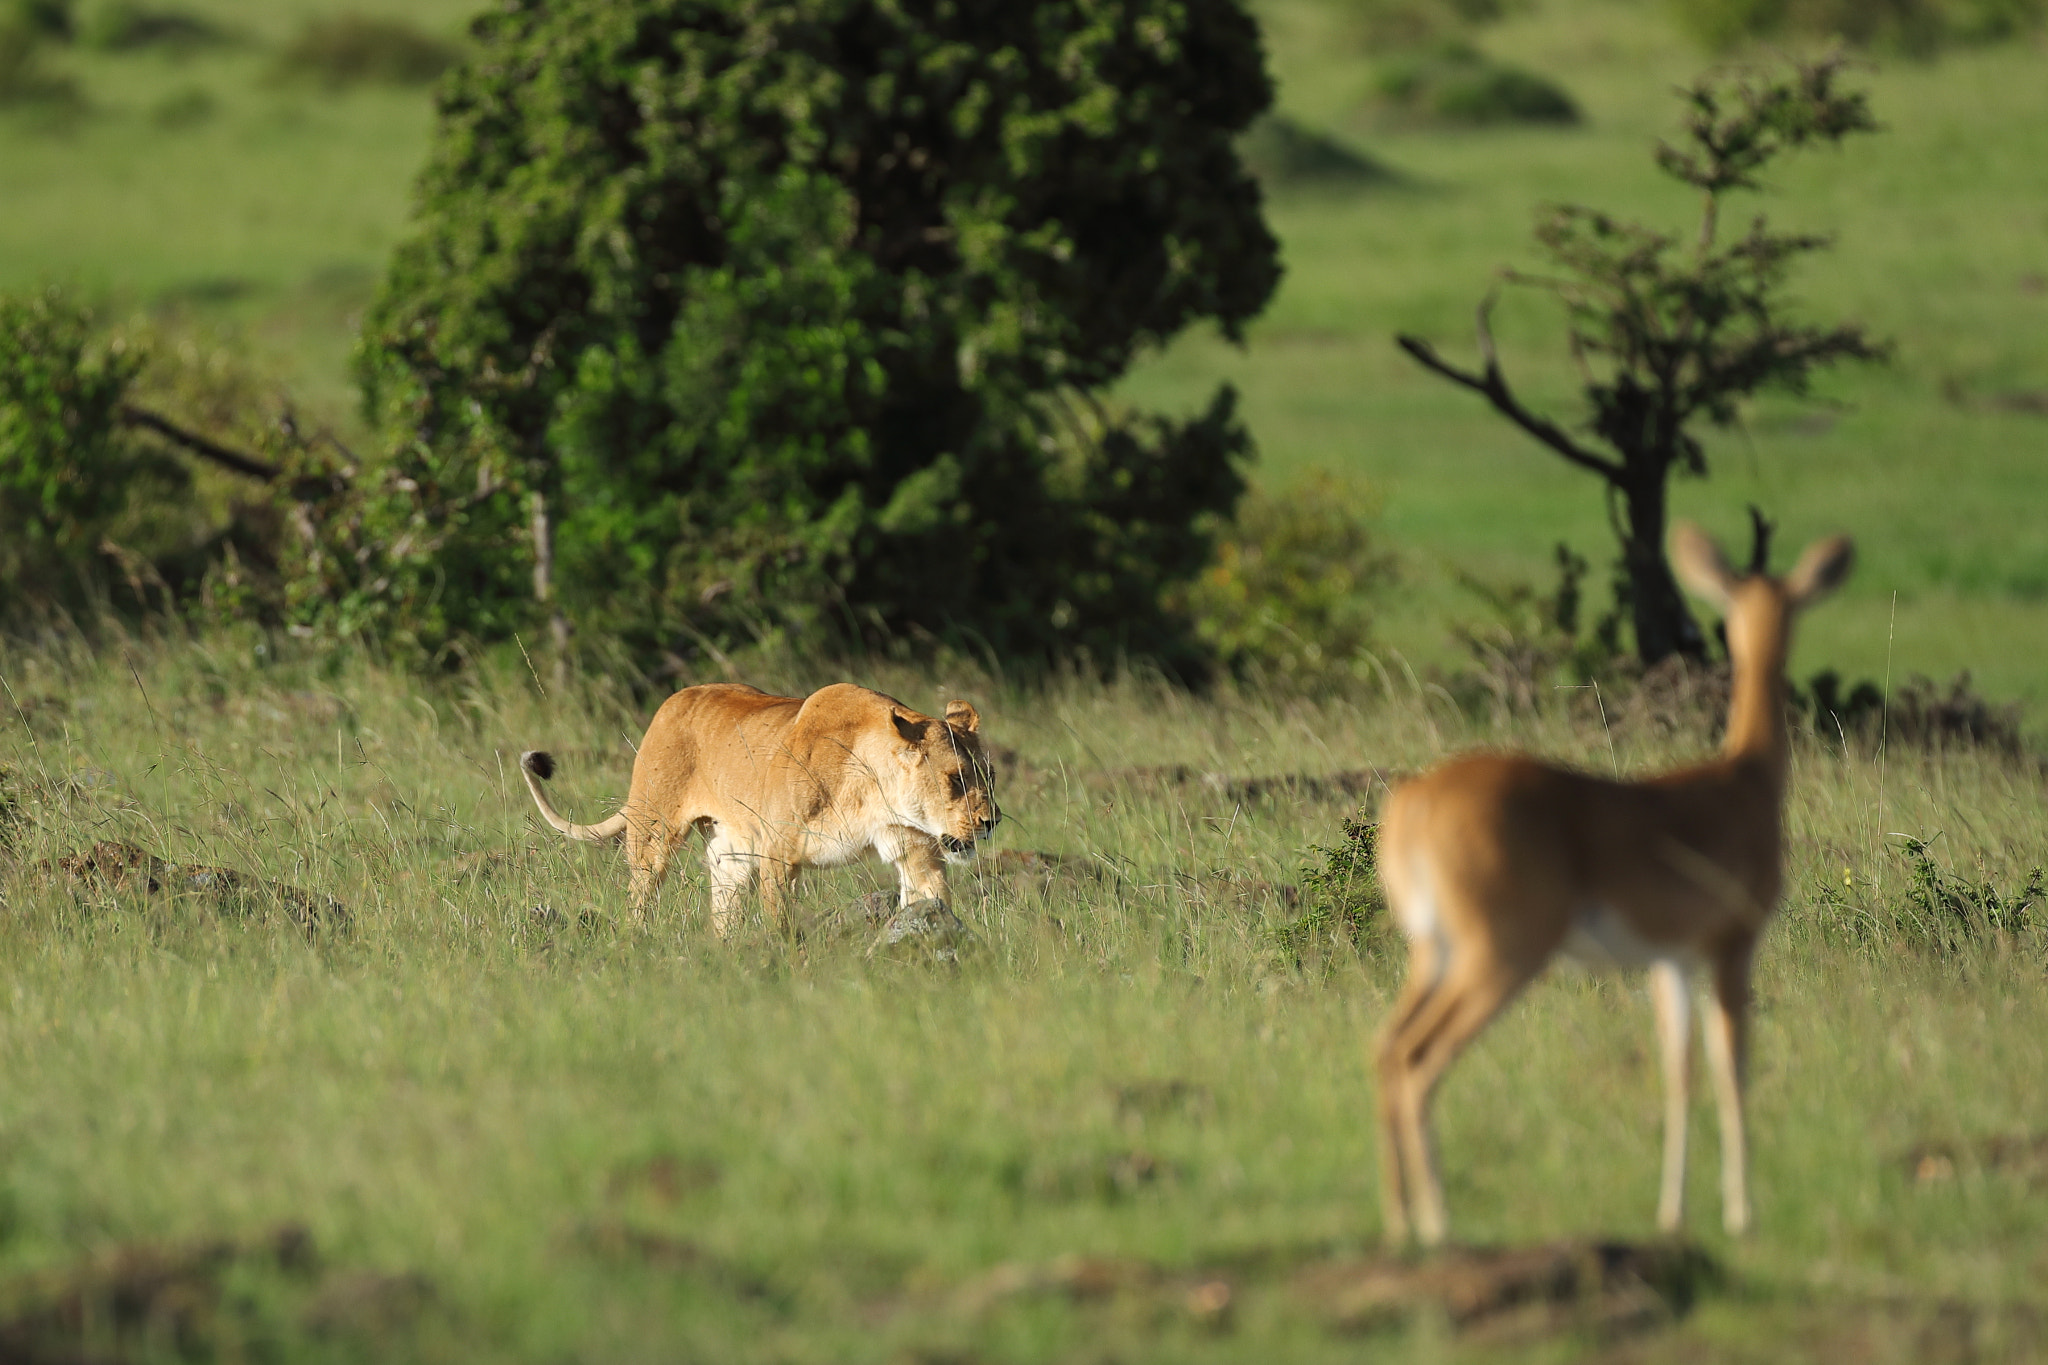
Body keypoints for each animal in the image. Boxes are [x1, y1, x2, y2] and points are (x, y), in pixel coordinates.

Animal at [1376, 523, 1859, 1252]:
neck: (1744, 781)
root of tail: (1416, 800)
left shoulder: (1668, 961)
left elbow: (1677, 1072)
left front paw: (1672, 1214)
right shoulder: (1732, 945)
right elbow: (1731, 1067)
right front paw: (1742, 1214)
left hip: (1432, 952)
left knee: (1385, 1048)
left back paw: (1402, 1222)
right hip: (1500, 956)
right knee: (1416, 1059)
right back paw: (1438, 1224)